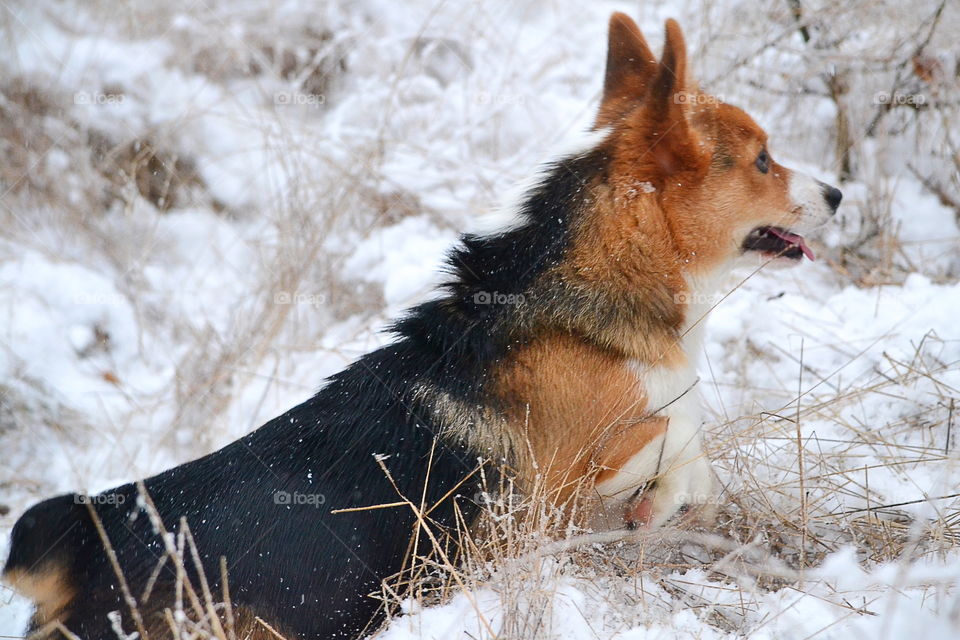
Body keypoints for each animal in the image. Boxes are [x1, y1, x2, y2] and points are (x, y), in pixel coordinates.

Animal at [1, 12, 840, 636]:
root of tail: (82, 548)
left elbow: (693, 461)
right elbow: (684, 437)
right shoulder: (559, 477)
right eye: (763, 160)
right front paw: (661, 498)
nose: (836, 193)